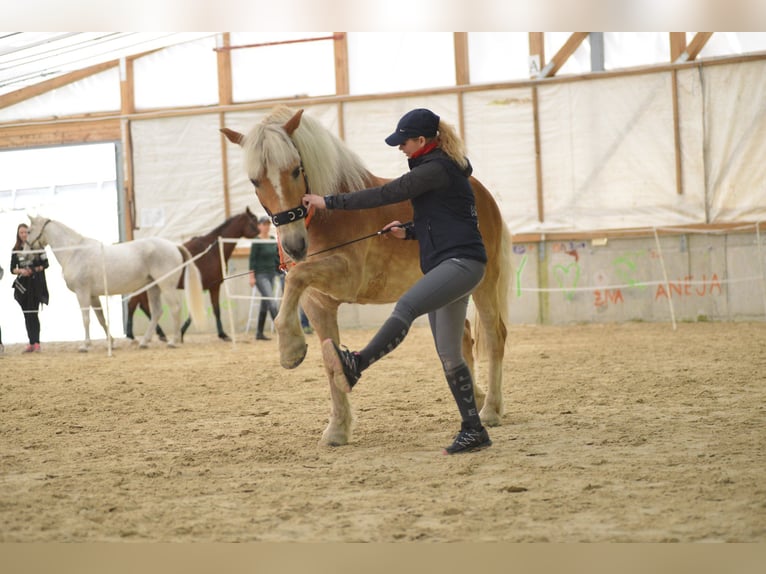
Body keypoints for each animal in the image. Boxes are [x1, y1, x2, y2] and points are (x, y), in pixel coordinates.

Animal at [26, 215, 207, 352]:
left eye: (28, 231)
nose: (26, 255)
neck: (74, 252)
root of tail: (174, 246)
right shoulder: (93, 296)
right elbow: (101, 319)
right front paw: (111, 343)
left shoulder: (82, 292)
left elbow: (86, 318)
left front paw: (85, 345)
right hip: (154, 287)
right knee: (157, 312)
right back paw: (144, 342)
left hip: (166, 286)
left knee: (175, 308)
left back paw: (173, 341)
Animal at [124, 207, 260, 342]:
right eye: (253, 222)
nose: (260, 237)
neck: (211, 251)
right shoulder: (214, 286)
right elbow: (216, 310)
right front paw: (223, 334)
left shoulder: (204, 286)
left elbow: (194, 312)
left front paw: (181, 333)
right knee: (133, 305)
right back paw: (132, 335)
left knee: (142, 306)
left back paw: (158, 334)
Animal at [220, 108, 510, 450]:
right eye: (255, 180)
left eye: (295, 170)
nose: (294, 245)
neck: (327, 218)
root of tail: (483, 194)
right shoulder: (317, 303)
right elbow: (327, 357)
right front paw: (337, 429)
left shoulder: (346, 277)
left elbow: (296, 278)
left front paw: (290, 349)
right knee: (462, 339)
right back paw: (477, 398)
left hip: (484, 283)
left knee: (494, 337)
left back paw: (491, 409)